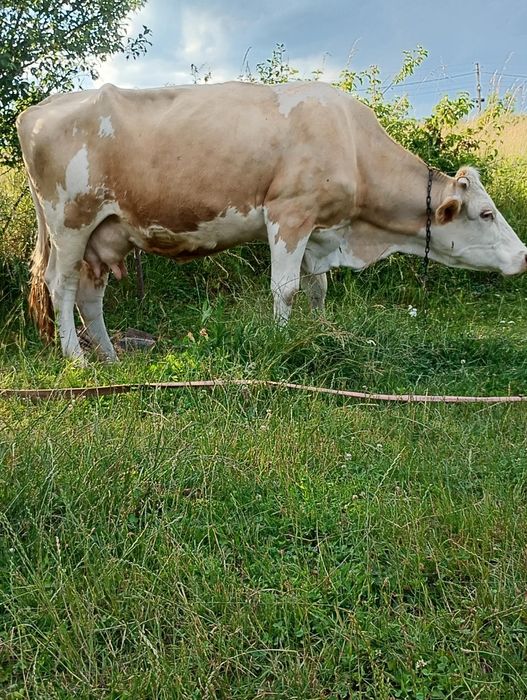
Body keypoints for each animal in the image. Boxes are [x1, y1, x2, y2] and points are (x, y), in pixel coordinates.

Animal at [16, 80, 527, 364]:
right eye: (486, 213)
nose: (523, 255)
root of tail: (35, 111)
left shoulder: (321, 229)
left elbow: (319, 287)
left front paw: (322, 333)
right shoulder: (289, 213)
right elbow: (286, 289)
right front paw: (283, 342)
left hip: (106, 233)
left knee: (90, 295)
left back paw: (108, 357)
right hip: (70, 222)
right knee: (60, 285)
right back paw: (77, 359)